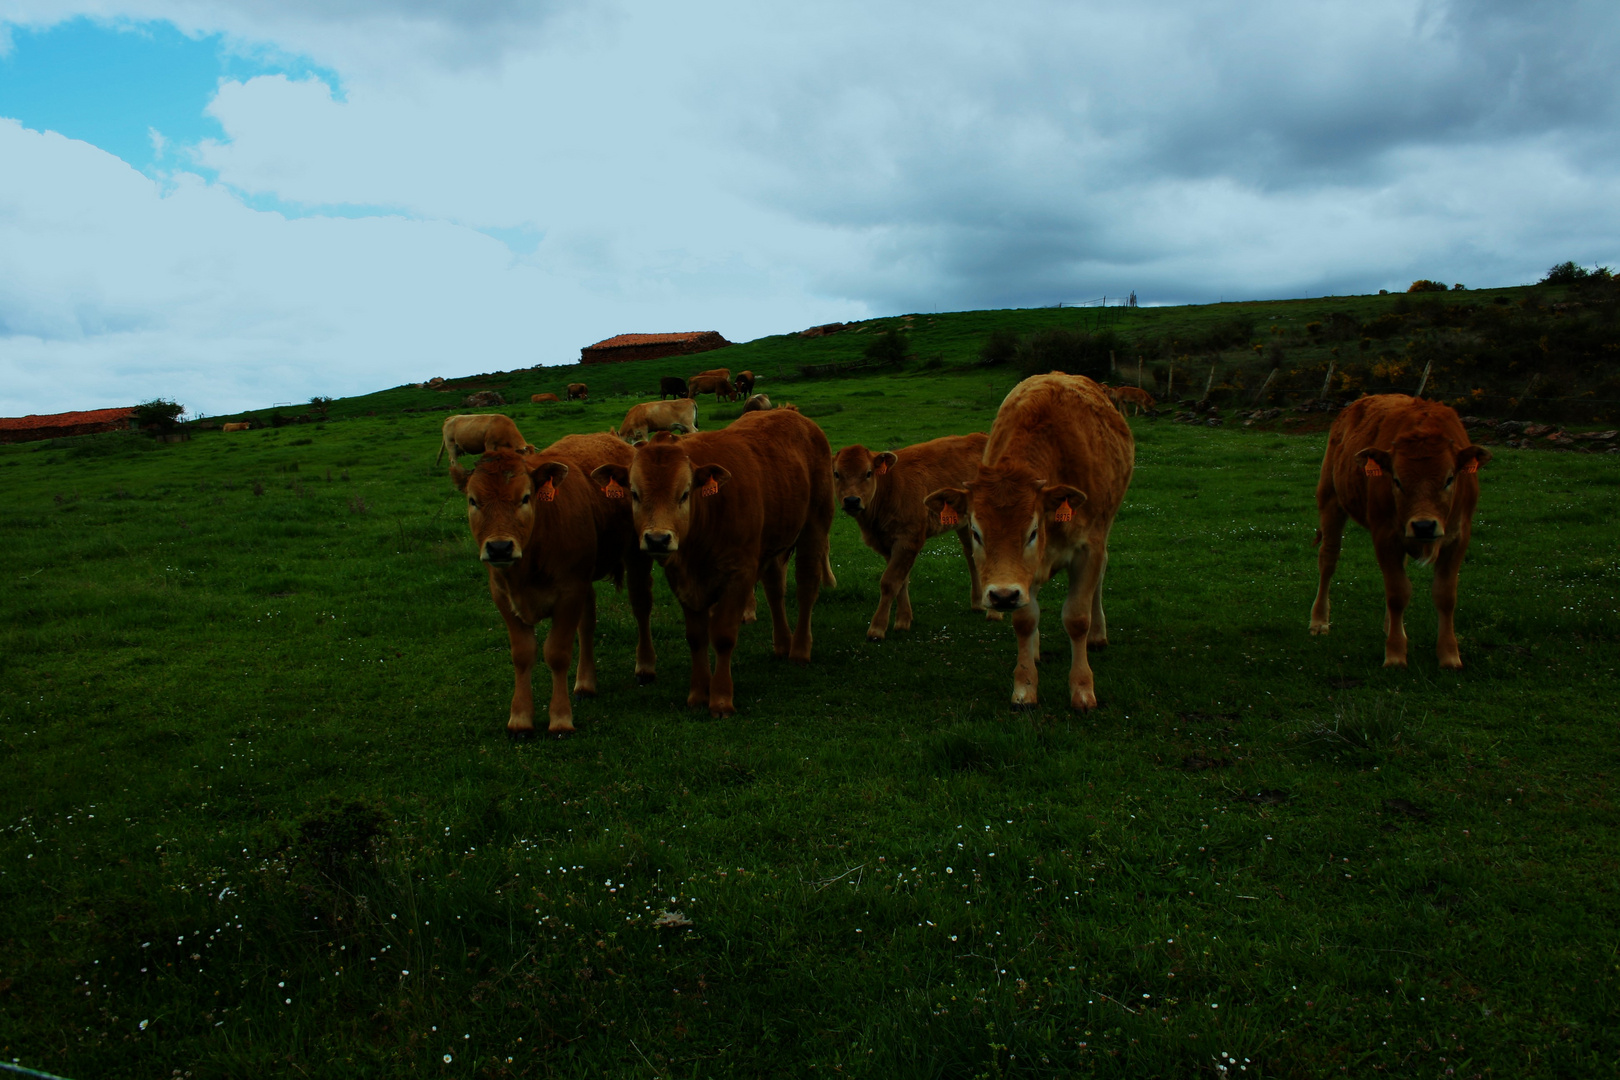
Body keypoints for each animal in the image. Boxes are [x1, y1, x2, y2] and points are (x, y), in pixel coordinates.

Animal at [447, 433, 654, 738]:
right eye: (473, 501)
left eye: (525, 497)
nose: (499, 548)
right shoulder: (502, 596)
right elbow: (523, 654)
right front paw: (520, 718)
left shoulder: (569, 593)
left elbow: (556, 653)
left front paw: (560, 718)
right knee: (587, 624)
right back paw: (585, 683)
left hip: (636, 556)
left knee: (641, 607)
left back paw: (645, 666)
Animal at [589, 408, 835, 718]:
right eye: (634, 493)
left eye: (684, 493)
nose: (657, 539)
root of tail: (792, 413)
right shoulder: (682, 580)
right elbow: (696, 637)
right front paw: (697, 693)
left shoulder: (740, 575)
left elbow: (723, 635)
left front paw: (720, 698)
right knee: (775, 590)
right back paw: (782, 643)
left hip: (815, 523)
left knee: (806, 586)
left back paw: (800, 649)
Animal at [842, 433, 991, 641]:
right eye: (837, 474)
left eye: (868, 473)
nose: (851, 500)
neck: (890, 487)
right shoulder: (888, 544)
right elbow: (901, 581)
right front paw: (903, 621)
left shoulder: (908, 540)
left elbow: (889, 581)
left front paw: (877, 628)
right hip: (964, 524)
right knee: (971, 555)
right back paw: (977, 603)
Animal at [933, 375, 1134, 712]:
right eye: (976, 532)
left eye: (1032, 531)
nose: (1002, 596)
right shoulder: (1019, 579)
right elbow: (1025, 620)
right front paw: (1025, 687)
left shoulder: (1088, 548)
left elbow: (1077, 617)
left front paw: (1082, 689)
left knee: (1101, 576)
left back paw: (1098, 634)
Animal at [1308, 393, 1483, 670]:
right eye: (1397, 480)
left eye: (1449, 478)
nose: (1424, 525)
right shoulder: (1384, 535)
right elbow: (1398, 593)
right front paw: (1395, 654)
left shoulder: (1458, 536)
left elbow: (1445, 595)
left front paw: (1449, 655)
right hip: (1330, 499)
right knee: (1328, 559)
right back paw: (1319, 621)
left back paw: (1391, 626)